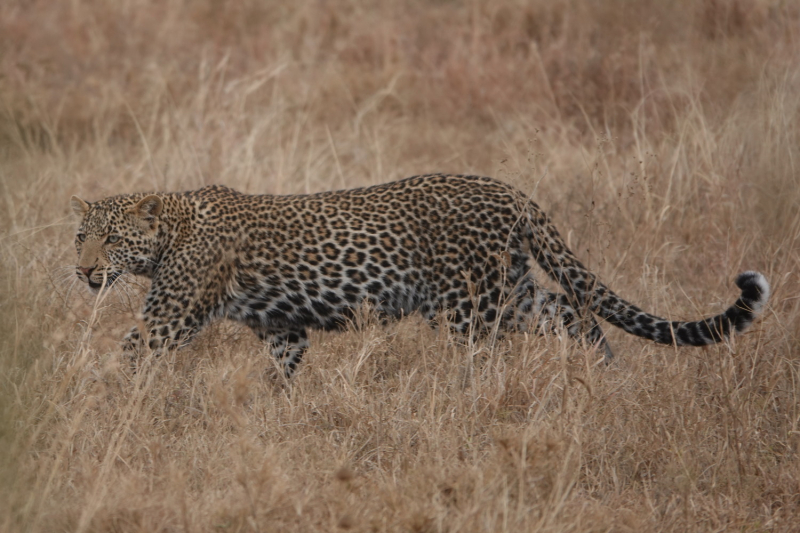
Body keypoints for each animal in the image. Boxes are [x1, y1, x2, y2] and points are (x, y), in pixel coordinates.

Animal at [70, 172, 768, 376]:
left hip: (470, 306)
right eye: (81, 237)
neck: (169, 227)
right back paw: (604, 373)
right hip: (507, 292)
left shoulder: (167, 317)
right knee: (569, 308)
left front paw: (94, 403)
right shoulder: (284, 328)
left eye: (111, 238)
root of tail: (509, 191)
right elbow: (282, 372)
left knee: (490, 355)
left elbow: (124, 356)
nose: (83, 271)